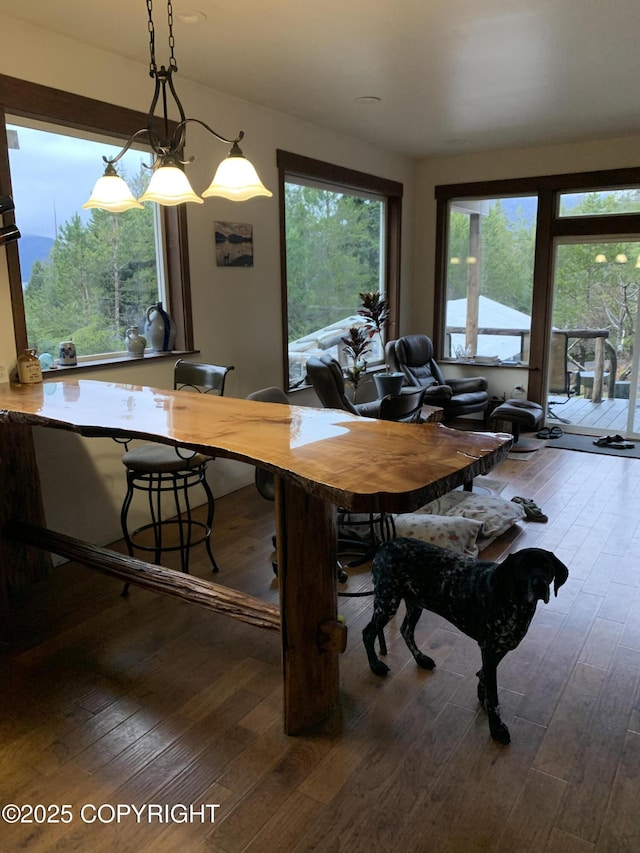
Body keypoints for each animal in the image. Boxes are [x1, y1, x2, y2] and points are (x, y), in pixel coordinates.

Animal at [362, 544, 568, 744]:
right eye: (523, 568)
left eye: (547, 566)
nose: (540, 585)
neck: (513, 602)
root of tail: (384, 546)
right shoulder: (490, 649)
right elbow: (494, 696)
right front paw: (496, 728)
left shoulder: (497, 649)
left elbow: (484, 676)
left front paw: (482, 695)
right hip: (387, 603)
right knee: (368, 634)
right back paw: (375, 665)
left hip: (414, 604)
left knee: (406, 630)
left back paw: (421, 659)